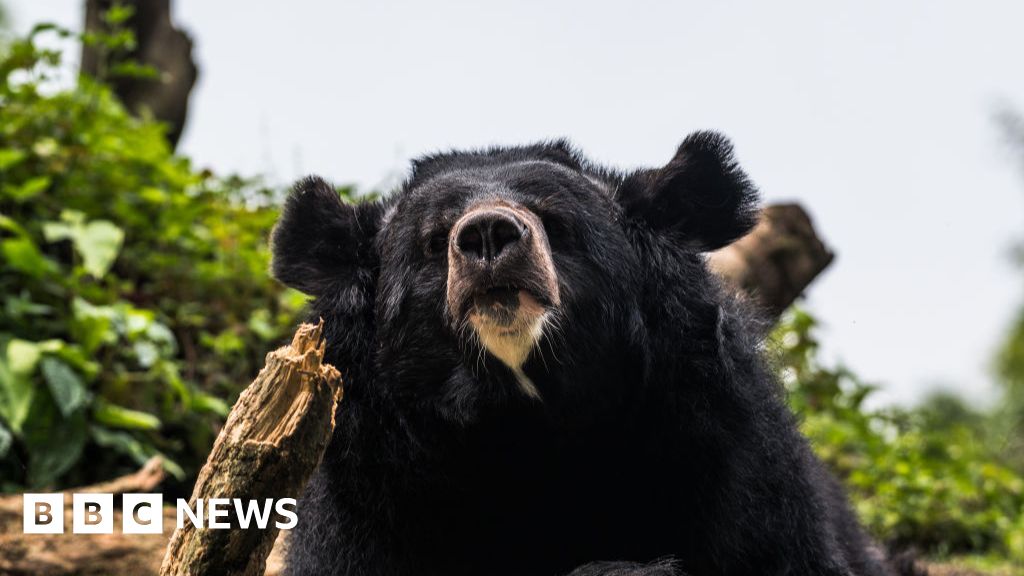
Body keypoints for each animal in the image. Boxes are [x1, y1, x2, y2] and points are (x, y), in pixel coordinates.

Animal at [270, 132, 910, 576]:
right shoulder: (371, 488)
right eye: (433, 241)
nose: (488, 235)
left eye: (556, 224)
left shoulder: (727, 446)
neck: (527, 420)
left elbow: (772, 549)